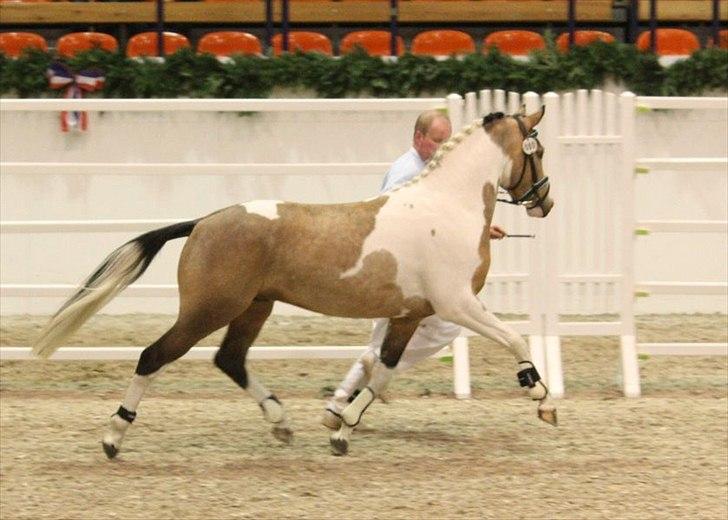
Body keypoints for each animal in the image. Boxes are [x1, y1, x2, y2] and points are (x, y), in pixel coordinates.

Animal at [32, 107, 556, 458]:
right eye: (539, 149)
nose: (545, 202)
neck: (446, 205)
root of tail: (203, 223)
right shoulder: (455, 304)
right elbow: (513, 337)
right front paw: (541, 398)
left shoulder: (411, 314)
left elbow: (383, 369)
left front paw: (342, 429)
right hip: (210, 309)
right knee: (153, 356)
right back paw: (113, 436)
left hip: (253, 308)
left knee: (230, 359)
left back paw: (281, 423)